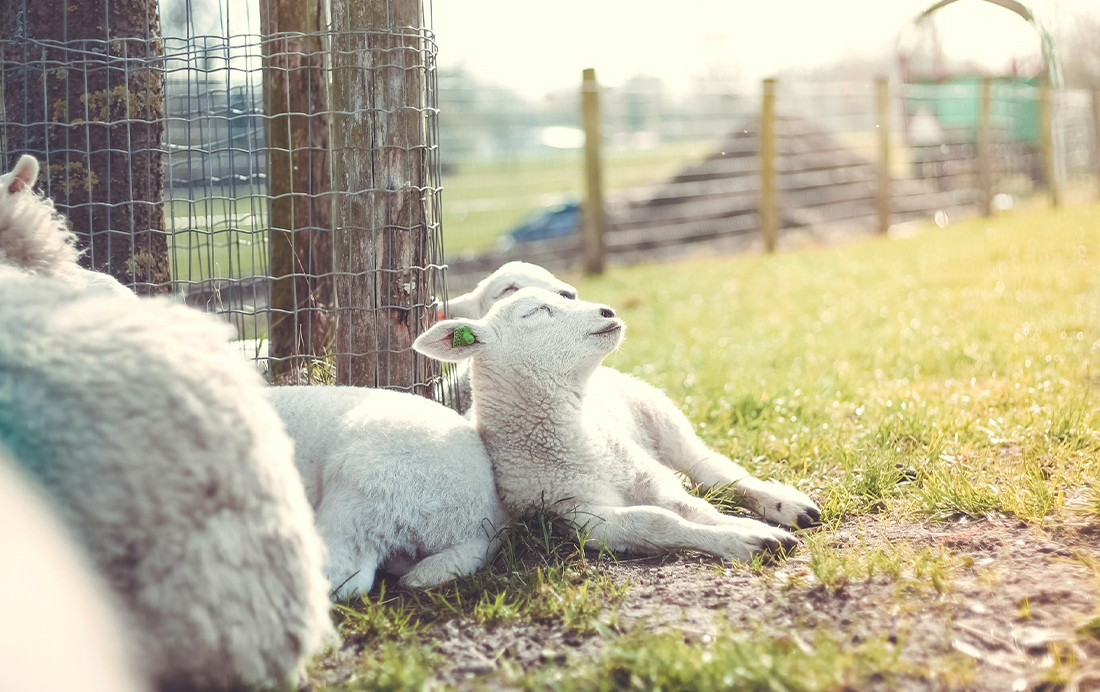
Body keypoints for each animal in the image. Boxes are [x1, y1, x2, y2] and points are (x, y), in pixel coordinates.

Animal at [413, 286, 809, 561]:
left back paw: (788, 506)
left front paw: (750, 529)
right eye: (536, 312)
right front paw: (749, 540)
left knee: (713, 471)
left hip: (659, 413)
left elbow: (692, 508)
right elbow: (657, 521)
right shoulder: (576, 515)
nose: (607, 311)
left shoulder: (646, 474)